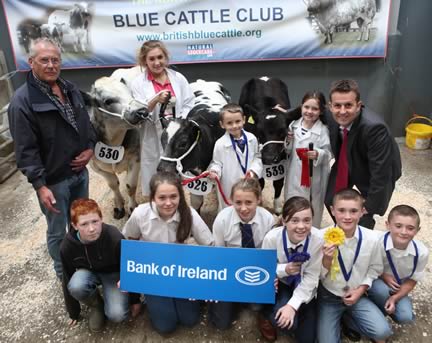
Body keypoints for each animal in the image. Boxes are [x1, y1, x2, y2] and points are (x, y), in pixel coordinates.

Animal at [240, 76, 300, 214]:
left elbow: (278, 182)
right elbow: (260, 182)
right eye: (260, 132)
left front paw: (277, 208)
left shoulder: (282, 155)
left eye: (283, 132)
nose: (269, 158)